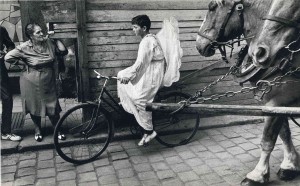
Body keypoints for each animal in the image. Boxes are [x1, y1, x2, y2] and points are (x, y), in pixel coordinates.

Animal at [196, 0, 300, 185]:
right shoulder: (275, 104)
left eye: (212, 7)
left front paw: (257, 174)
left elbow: (268, 140)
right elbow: (284, 134)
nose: (199, 44)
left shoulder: (276, 101)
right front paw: (290, 165)